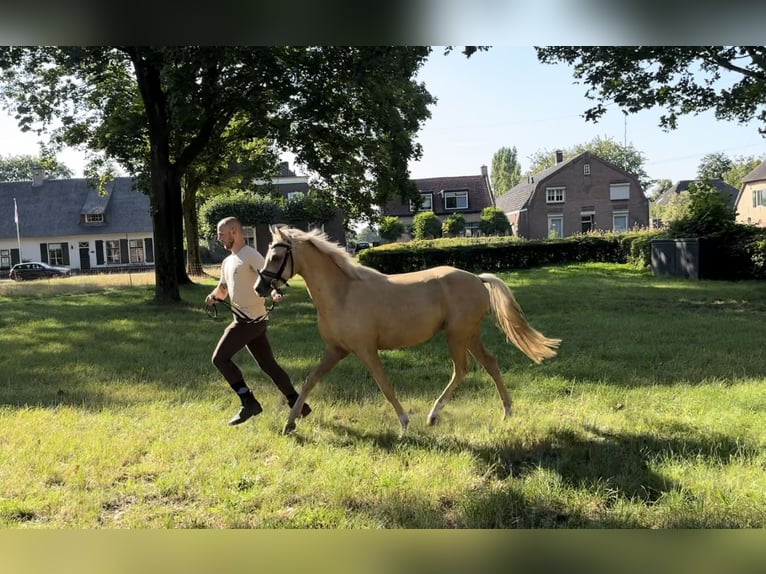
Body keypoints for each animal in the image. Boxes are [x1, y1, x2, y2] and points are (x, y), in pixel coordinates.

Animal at [255, 227, 560, 434]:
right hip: (469, 335)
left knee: (462, 370)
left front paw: (404, 423)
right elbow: (309, 381)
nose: (260, 288)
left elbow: (385, 385)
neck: (343, 293)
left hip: (457, 336)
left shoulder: (366, 350)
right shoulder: (336, 350)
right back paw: (506, 412)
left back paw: (433, 416)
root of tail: (477, 278)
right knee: (491, 364)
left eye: (277, 255)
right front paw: (289, 423)